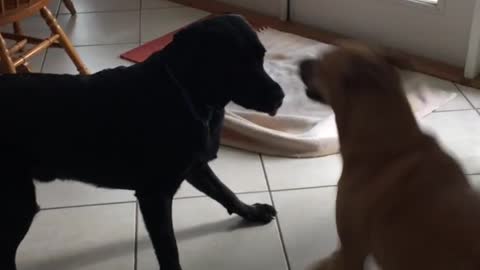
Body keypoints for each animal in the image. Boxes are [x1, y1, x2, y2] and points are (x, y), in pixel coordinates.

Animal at [1, 14, 284, 270]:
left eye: (261, 57)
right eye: (233, 63)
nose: (280, 97)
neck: (185, 92)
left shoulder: (194, 166)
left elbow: (225, 192)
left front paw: (253, 212)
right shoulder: (154, 195)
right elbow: (169, 251)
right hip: (19, 205)